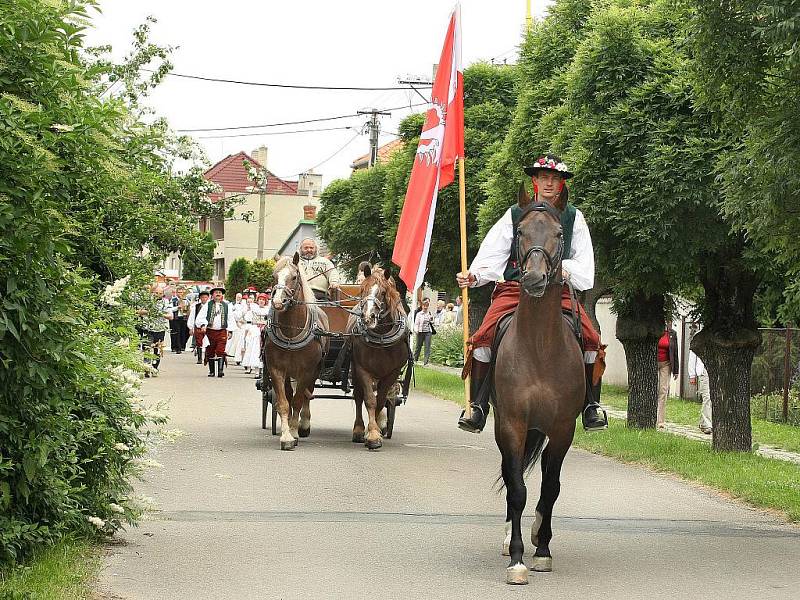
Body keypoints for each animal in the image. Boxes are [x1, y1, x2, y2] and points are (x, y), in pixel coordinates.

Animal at [266, 253, 328, 450]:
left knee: (306, 395)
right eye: (274, 276)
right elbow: (284, 403)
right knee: (289, 394)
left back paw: (304, 425)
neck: (291, 333)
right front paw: (286, 436)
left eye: (294, 277)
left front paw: (294, 431)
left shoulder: (307, 371)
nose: (278, 302)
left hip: (313, 372)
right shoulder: (276, 369)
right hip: (289, 374)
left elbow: (298, 401)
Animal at [350, 264, 410, 448]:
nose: (368, 317)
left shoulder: (392, 373)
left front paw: (375, 429)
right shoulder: (362, 369)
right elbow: (369, 399)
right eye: (363, 290)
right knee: (358, 397)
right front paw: (372, 434)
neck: (381, 337)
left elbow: (381, 401)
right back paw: (358, 430)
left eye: (383, 292)